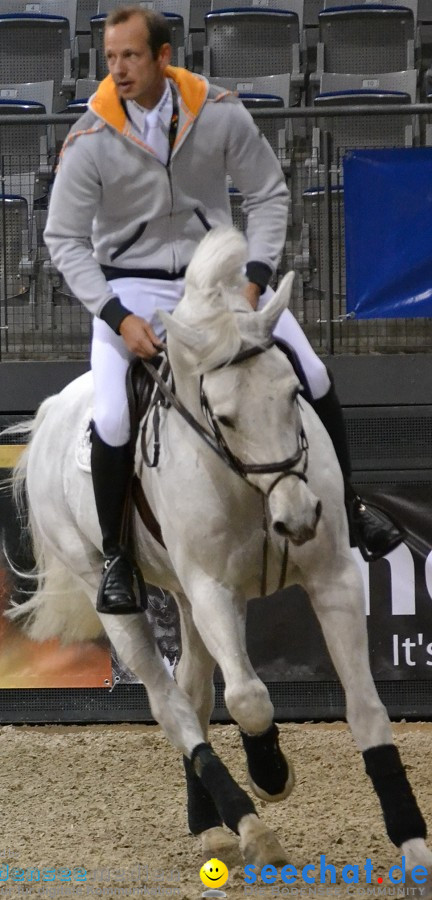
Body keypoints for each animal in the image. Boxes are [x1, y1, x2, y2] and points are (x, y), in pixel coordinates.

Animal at [5, 227, 432, 884]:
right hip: (118, 594)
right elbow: (250, 699)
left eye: (294, 394)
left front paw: (411, 842)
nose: (298, 518)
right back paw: (249, 824)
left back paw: (210, 823)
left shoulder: (332, 578)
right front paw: (271, 775)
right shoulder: (213, 591)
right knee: (171, 704)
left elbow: (366, 708)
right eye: (225, 417)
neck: (250, 485)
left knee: (194, 692)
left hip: (184, 597)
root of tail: (53, 409)